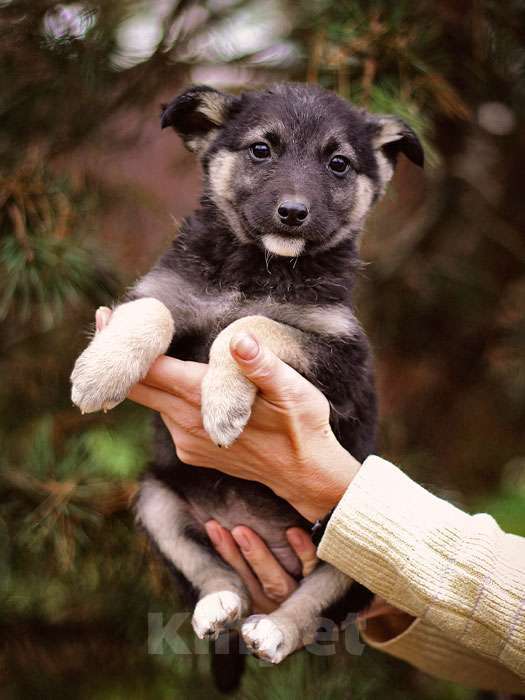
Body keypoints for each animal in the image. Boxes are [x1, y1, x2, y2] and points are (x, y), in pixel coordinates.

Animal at [69, 83, 424, 688]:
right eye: (261, 150)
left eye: (338, 164)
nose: (293, 213)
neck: (258, 267)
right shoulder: (169, 292)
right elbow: (150, 311)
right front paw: (101, 371)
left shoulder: (343, 359)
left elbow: (249, 325)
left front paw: (223, 402)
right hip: (156, 499)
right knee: (215, 575)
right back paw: (219, 605)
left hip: (361, 550)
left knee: (316, 605)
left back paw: (275, 630)